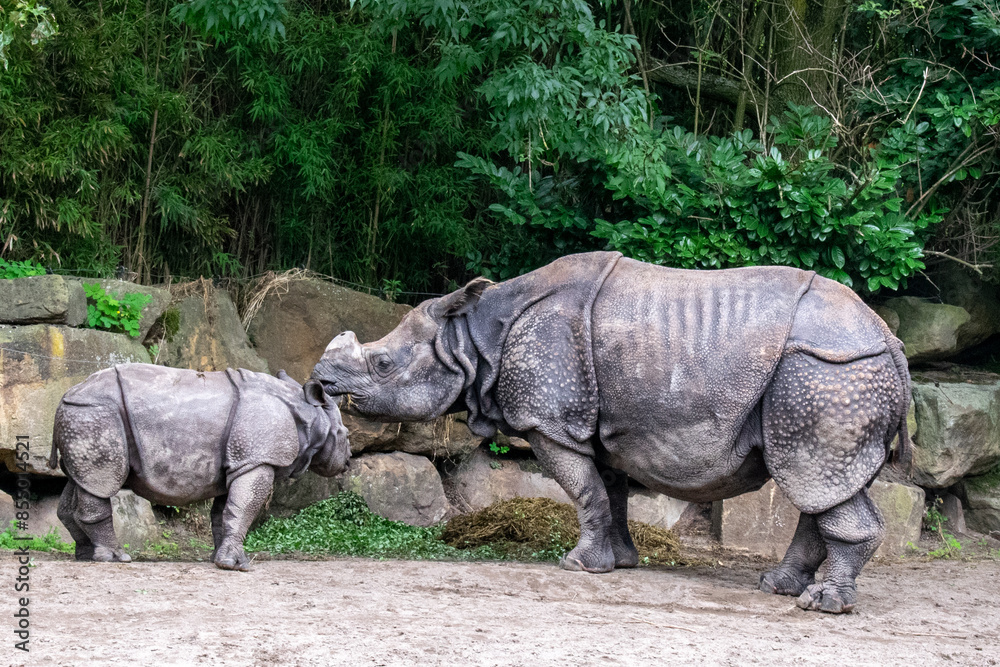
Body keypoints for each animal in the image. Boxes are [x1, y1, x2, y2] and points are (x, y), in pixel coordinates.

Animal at [48, 364, 350, 571]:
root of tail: (64, 395)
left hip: (81, 416)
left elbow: (225, 512)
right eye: (344, 434)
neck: (308, 412)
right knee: (101, 481)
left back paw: (85, 556)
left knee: (81, 481)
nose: (347, 461)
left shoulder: (239, 461)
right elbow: (245, 507)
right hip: (95, 413)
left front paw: (221, 559)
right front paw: (236, 566)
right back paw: (116, 558)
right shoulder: (256, 459)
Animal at [311, 251, 911, 613]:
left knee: (813, 476)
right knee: (821, 484)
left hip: (827, 373)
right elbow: (610, 490)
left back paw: (821, 604)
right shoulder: (597, 422)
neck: (473, 338)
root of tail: (891, 340)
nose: (321, 380)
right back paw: (779, 588)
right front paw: (621, 562)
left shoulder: (550, 421)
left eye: (383, 363)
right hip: (832, 374)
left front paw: (578, 566)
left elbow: (583, 490)